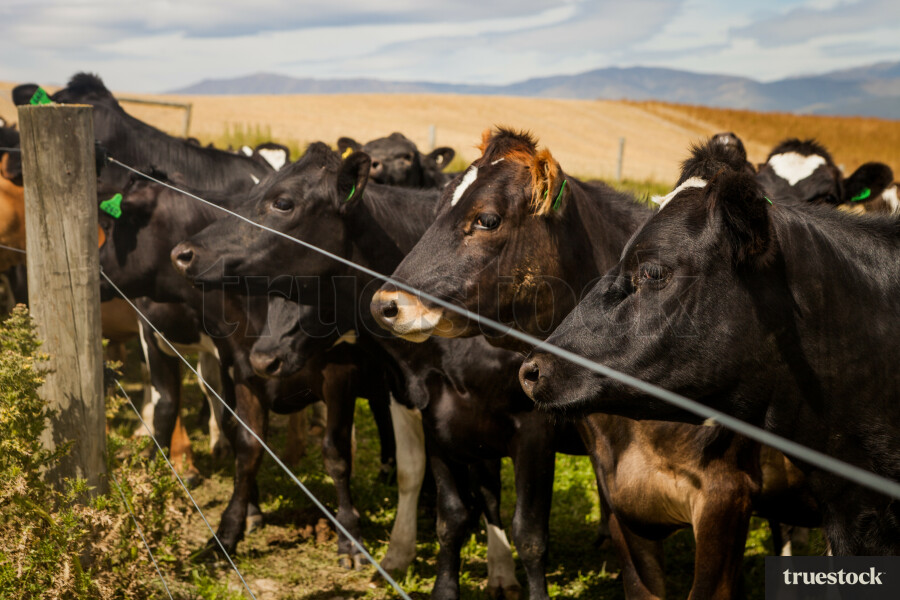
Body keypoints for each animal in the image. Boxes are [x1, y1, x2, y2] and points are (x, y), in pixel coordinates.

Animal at [371, 129, 820, 597]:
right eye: (436, 209)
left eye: (487, 220)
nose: (386, 304)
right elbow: (452, 517)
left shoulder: (723, 498)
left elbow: (528, 532)